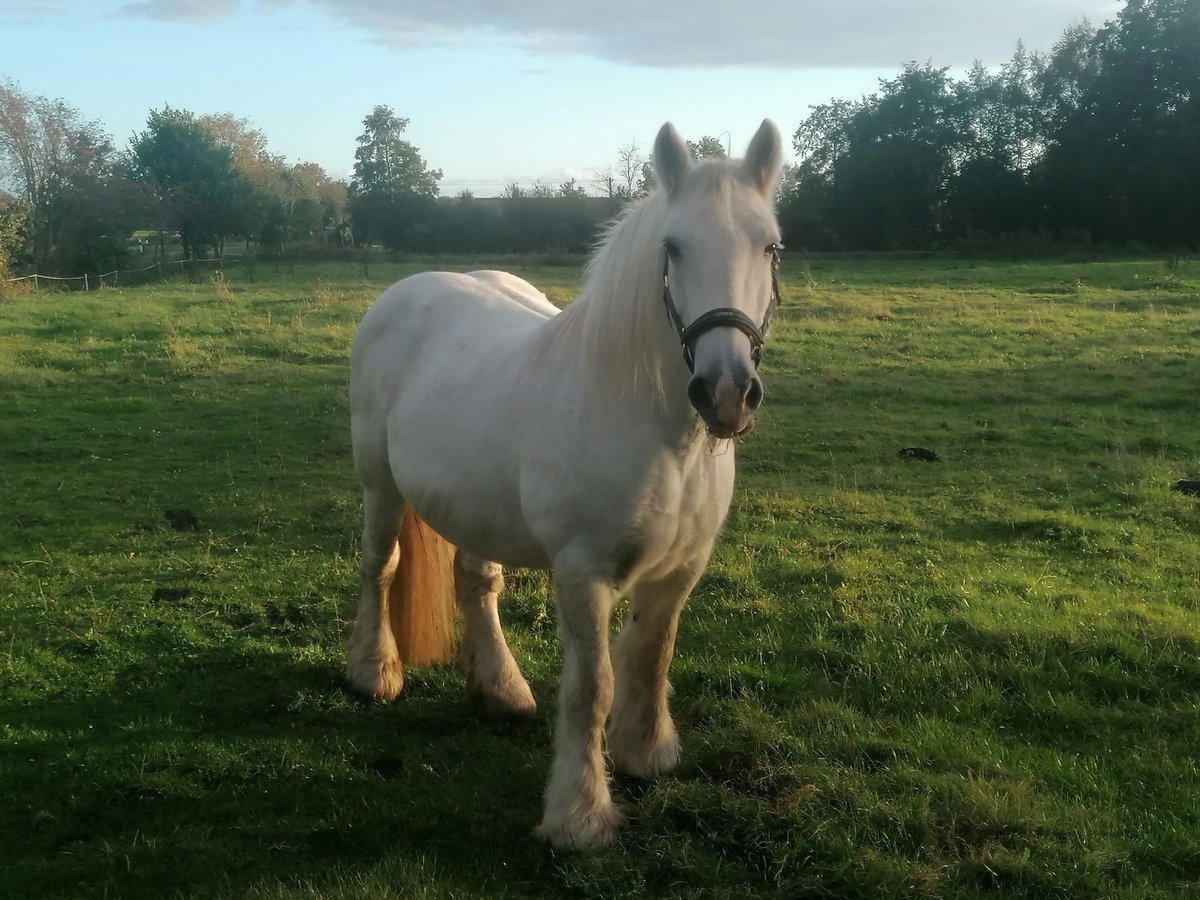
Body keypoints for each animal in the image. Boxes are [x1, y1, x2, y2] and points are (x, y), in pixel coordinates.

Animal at [345, 121, 787, 854]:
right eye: (672, 248)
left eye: (771, 246)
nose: (725, 393)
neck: (660, 431)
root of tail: (405, 292)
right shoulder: (583, 574)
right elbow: (593, 687)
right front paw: (580, 817)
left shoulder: (681, 570)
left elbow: (652, 656)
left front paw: (645, 754)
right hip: (379, 484)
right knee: (380, 567)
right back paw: (372, 672)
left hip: (474, 505)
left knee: (476, 582)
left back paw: (500, 691)